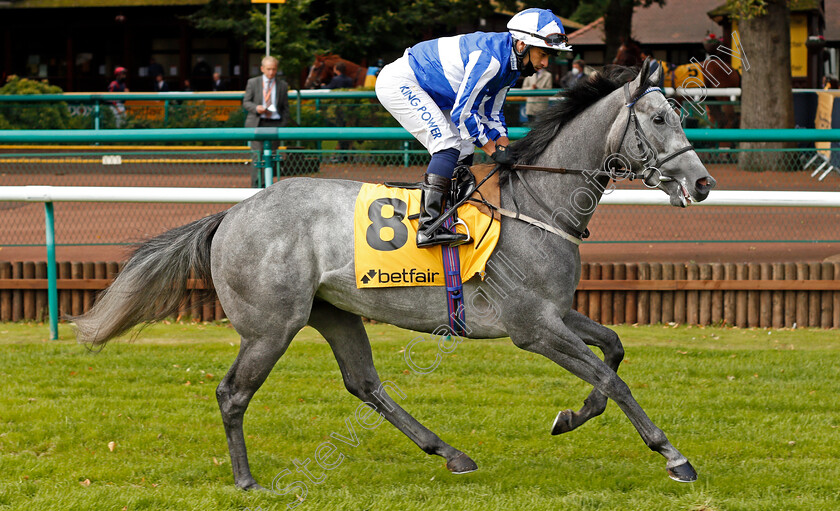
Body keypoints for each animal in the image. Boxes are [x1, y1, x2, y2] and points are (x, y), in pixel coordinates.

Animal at [74, 62, 716, 490]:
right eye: (660, 117)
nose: (703, 182)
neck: (540, 206)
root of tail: (231, 213)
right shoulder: (532, 327)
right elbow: (613, 379)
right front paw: (673, 455)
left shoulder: (555, 313)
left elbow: (614, 351)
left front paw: (569, 417)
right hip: (271, 326)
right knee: (233, 393)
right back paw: (247, 480)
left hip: (333, 313)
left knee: (365, 384)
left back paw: (450, 453)